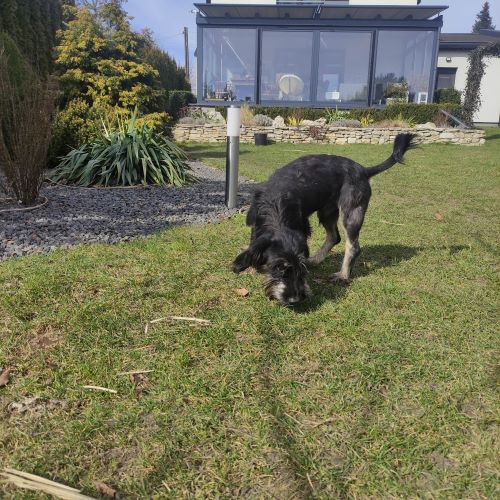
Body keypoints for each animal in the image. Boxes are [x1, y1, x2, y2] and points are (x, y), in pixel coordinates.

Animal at [232, 133, 417, 305]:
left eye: (301, 268)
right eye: (279, 268)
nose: (295, 299)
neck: (276, 207)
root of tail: (364, 170)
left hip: (351, 211)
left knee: (353, 245)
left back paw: (343, 275)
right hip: (326, 212)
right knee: (334, 236)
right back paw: (316, 259)